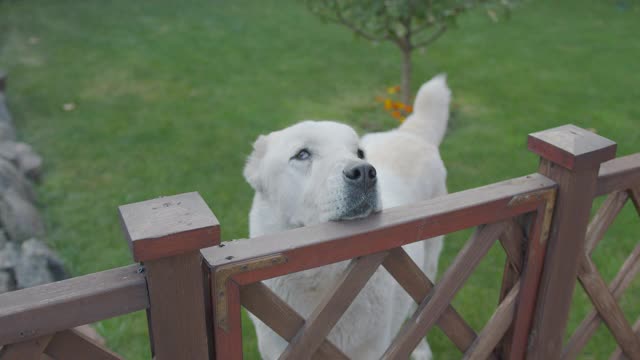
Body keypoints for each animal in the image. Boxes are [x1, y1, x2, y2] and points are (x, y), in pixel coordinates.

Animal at [244, 75, 450, 358]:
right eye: (302, 154)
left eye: (359, 153)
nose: (364, 172)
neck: (322, 283)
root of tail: (410, 133)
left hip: (428, 260)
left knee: (424, 305)